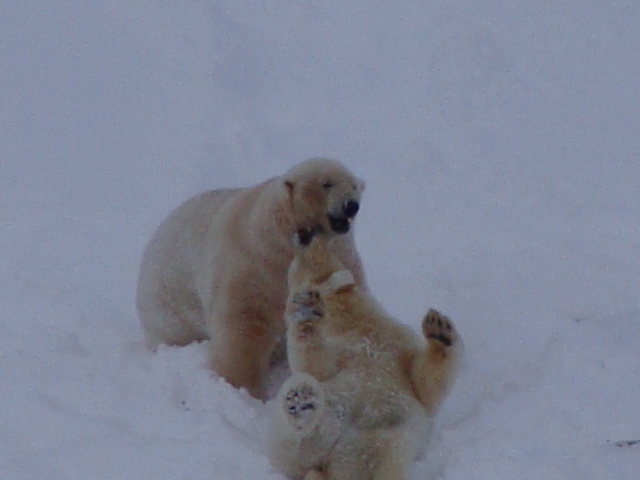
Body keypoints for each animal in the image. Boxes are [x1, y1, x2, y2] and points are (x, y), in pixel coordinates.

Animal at [136, 159, 368, 400]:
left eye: (354, 185)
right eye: (326, 183)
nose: (351, 205)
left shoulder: (343, 256)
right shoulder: (253, 263)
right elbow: (243, 326)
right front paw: (242, 389)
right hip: (167, 304)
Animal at [268, 230, 462, 480]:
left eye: (322, 242)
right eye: (292, 267)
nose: (305, 233)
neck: (356, 322)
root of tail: (328, 466)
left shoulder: (396, 341)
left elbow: (424, 386)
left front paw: (439, 328)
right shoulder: (339, 347)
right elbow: (313, 365)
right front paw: (306, 309)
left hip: (385, 444)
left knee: (383, 461)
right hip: (301, 441)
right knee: (296, 441)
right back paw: (302, 403)